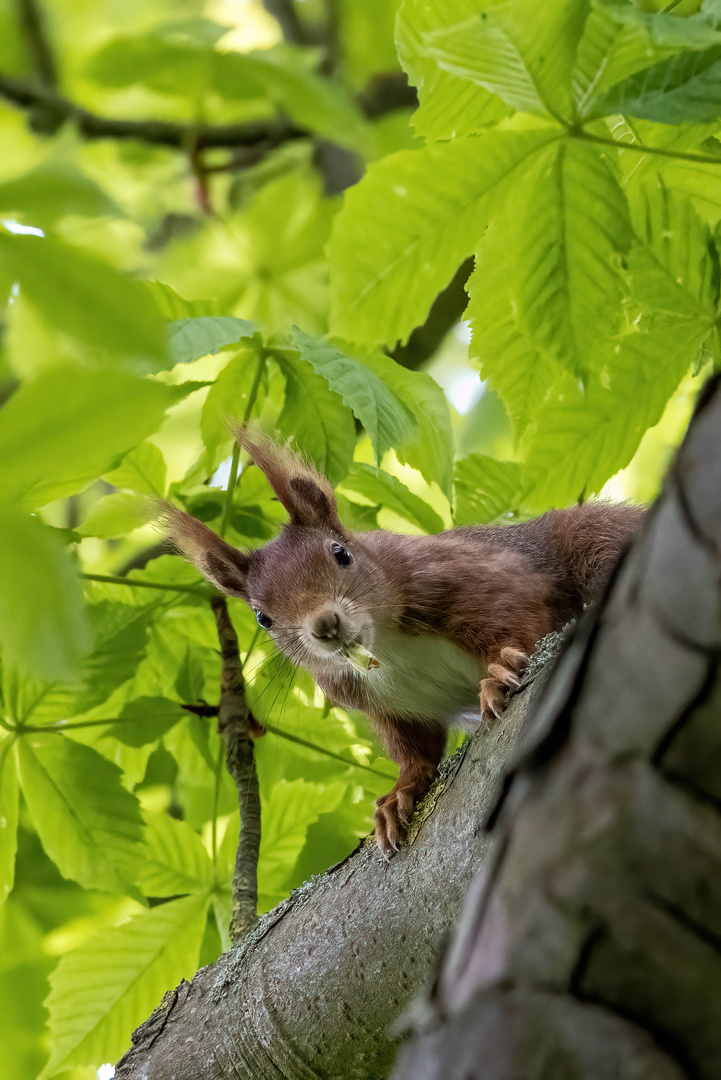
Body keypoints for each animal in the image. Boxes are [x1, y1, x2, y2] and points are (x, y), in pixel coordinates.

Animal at [161, 429, 643, 851]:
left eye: (341, 553)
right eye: (263, 618)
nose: (325, 625)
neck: (388, 648)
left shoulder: (471, 576)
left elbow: (514, 616)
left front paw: (500, 669)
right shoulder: (379, 700)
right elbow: (415, 750)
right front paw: (399, 795)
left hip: (590, 538)